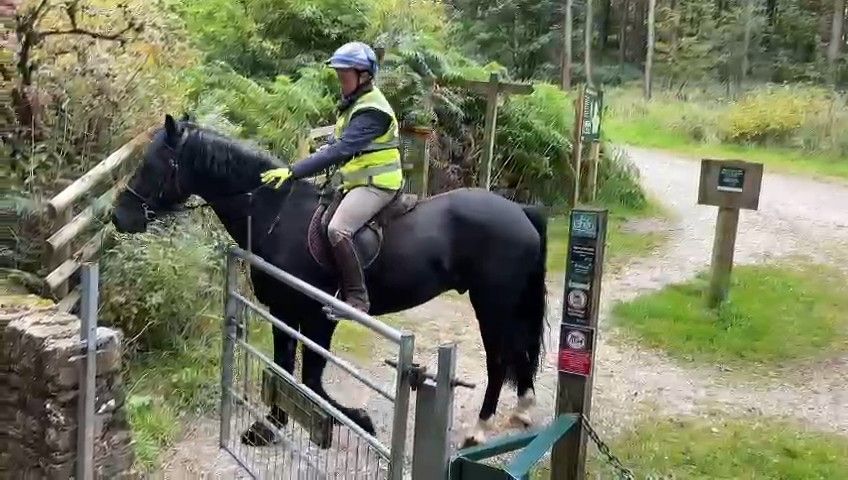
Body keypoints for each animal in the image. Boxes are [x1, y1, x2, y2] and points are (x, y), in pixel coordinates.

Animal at [111, 115, 548, 446]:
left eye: (152, 165)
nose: (119, 216)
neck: (277, 216)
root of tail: (520, 212)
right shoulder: (283, 311)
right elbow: (284, 369)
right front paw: (270, 426)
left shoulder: (318, 315)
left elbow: (310, 377)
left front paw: (351, 417)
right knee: (517, 354)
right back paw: (522, 410)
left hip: (493, 303)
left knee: (500, 358)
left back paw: (480, 428)